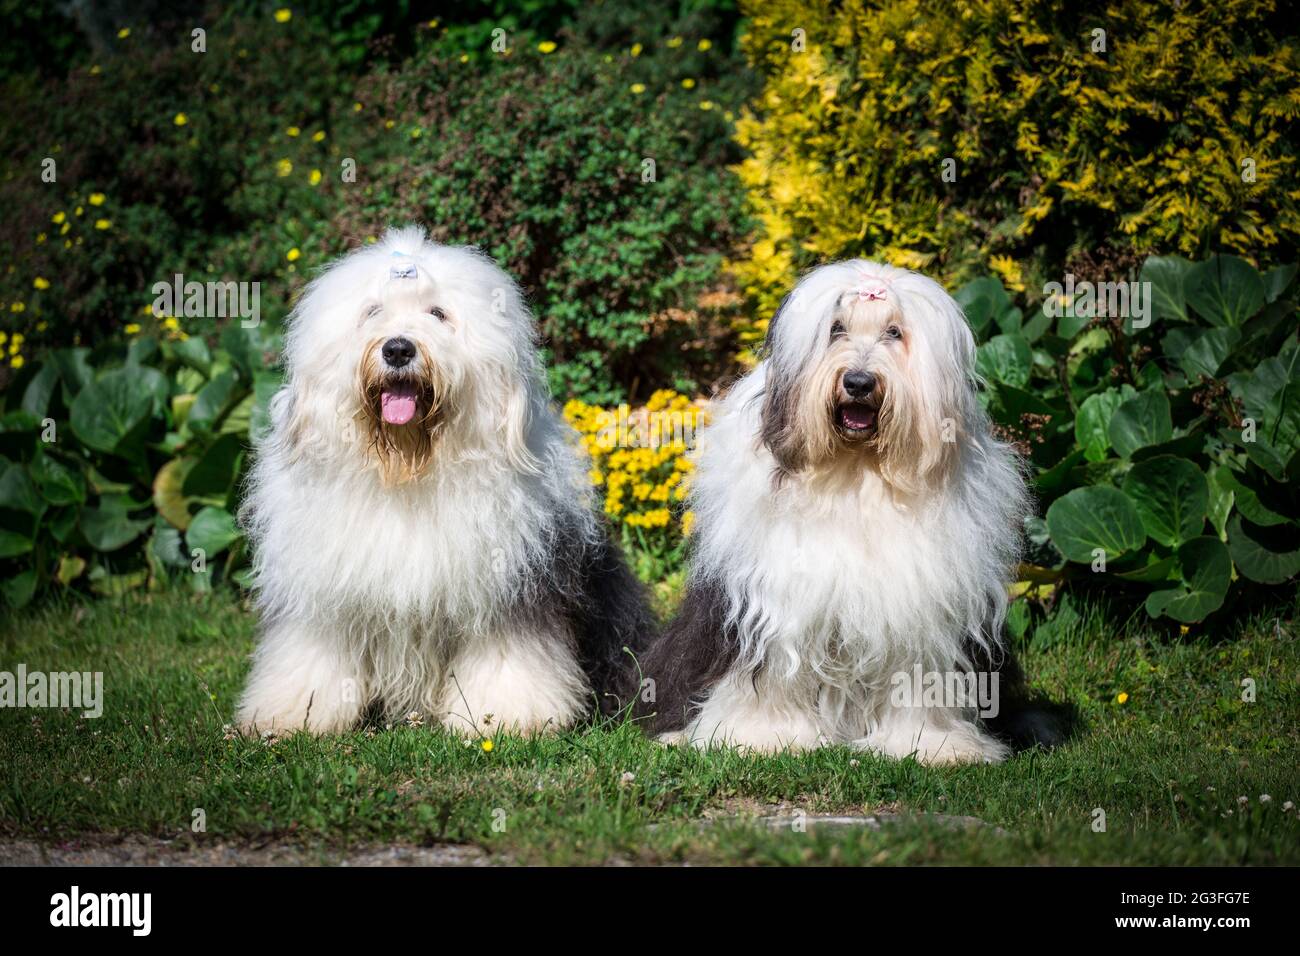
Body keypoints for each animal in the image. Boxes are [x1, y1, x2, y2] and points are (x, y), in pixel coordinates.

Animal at [235, 227, 650, 738]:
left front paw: (505, 718)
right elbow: (312, 652)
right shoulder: (319, 594)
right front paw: (291, 715)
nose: (397, 349)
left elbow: (509, 656)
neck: (408, 469)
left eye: (438, 313)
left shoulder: (509, 587)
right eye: (372, 311)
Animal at [634, 260, 1040, 764]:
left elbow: (921, 679)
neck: (855, 470)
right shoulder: (774, 606)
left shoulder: (925, 613)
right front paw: (762, 737)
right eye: (836, 329)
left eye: (893, 332)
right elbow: (771, 674)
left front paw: (931, 745)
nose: (859, 382)